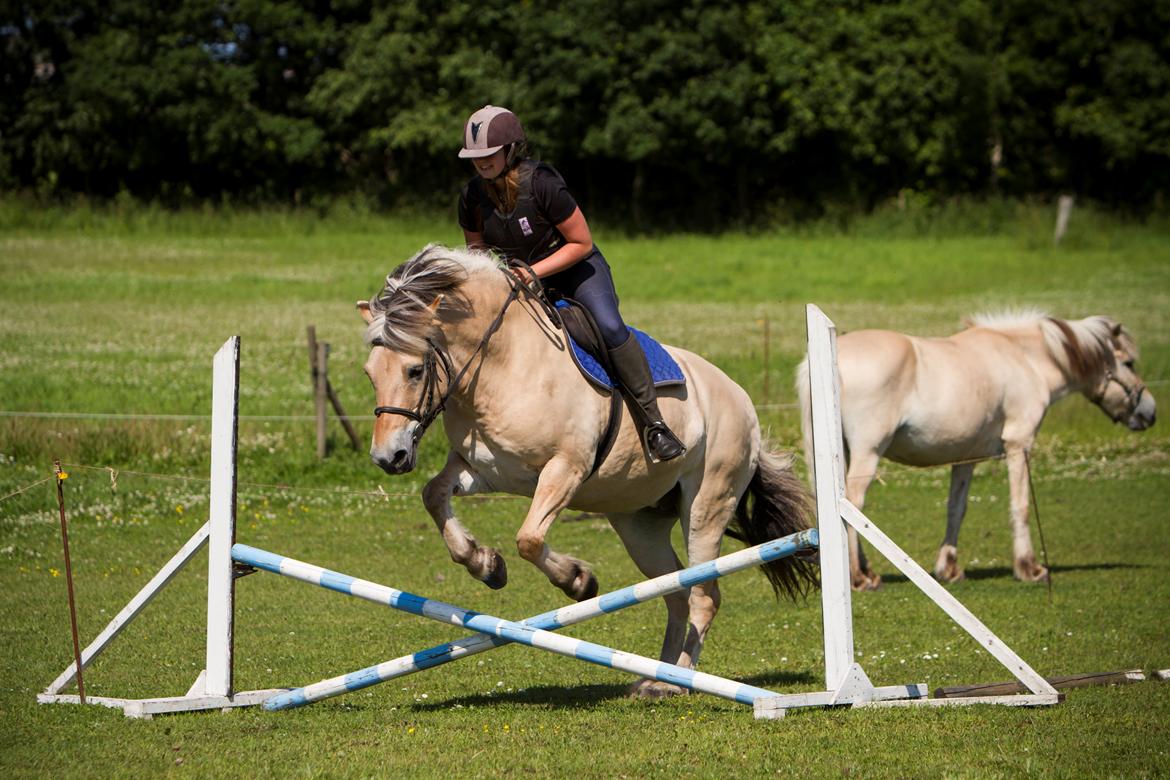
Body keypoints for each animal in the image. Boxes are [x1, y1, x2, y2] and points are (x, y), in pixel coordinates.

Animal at [353, 244, 814, 696]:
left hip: (707, 505)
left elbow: (529, 539)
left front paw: (578, 581)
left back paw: (680, 682)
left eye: (415, 370)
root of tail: (741, 398)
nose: (388, 457)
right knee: (675, 592)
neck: (502, 366)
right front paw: (485, 564)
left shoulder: (565, 469)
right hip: (640, 525)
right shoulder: (485, 470)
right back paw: (657, 680)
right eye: (370, 374)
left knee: (704, 594)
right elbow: (434, 495)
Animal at [790, 308, 1155, 589]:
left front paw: (949, 568)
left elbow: (957, 508)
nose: (1150, 412)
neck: (1023, 358)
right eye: (1130, 363)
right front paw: (1029, 568)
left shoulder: (965, 458)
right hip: (868, 452)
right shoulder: (1019, 445)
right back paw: (859, 576)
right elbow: (1020, 505)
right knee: (853, 502)